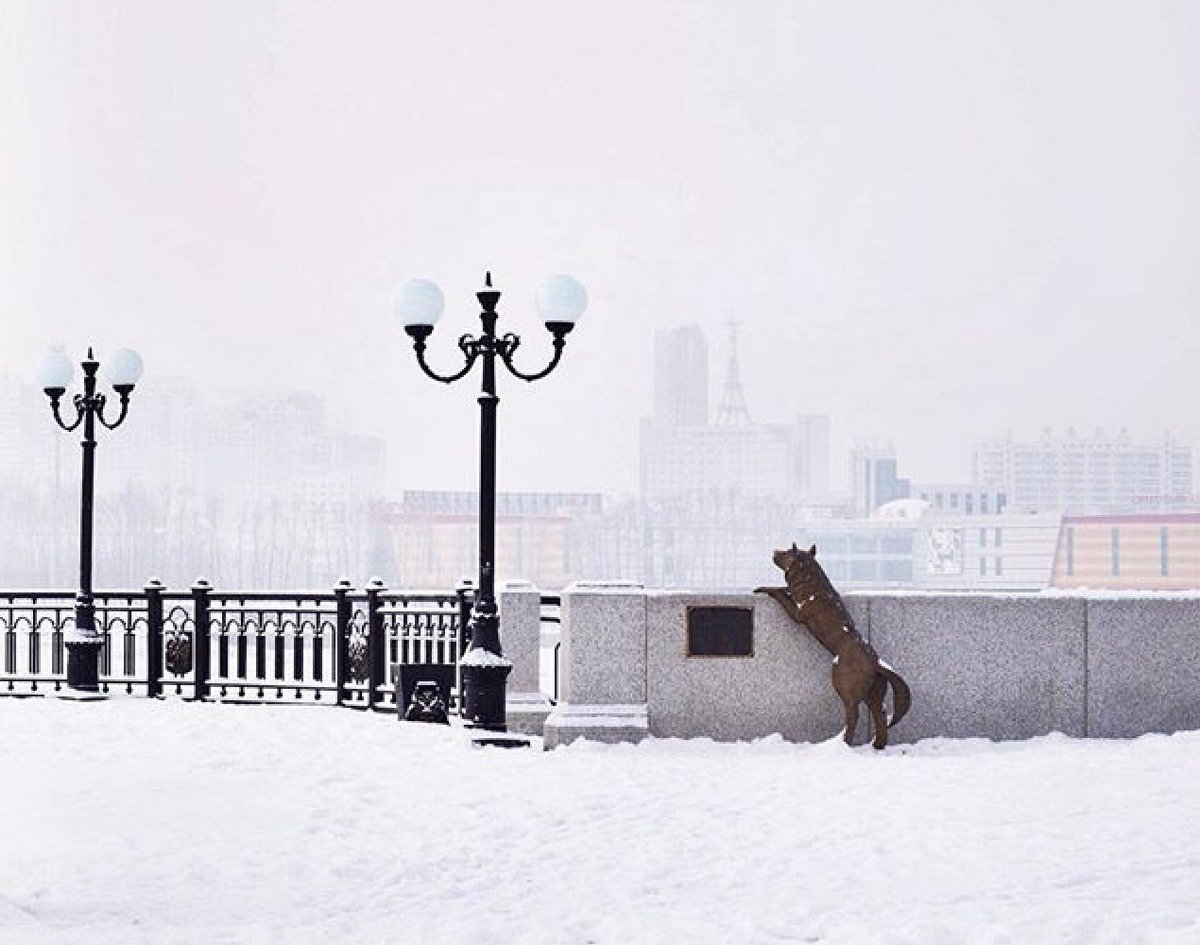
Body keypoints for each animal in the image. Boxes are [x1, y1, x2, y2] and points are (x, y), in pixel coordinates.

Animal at [753, 542, 912, 748]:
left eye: (787, 551)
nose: (774, 551)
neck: (810, 582)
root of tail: (876, 663)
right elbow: (784, 589)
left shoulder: (797, 613)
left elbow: (780, 593)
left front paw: (762, 588)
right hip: (874, 692)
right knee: (881, 713)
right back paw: (877, 745)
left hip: (844, 684)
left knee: (853, 713)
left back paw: (843, 741)